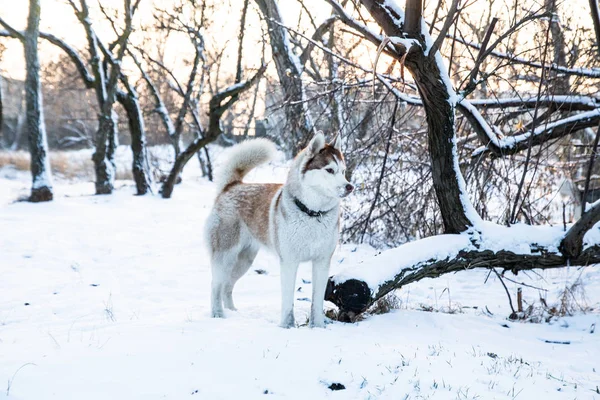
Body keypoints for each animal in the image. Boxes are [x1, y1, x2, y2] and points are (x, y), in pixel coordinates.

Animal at [206, 134, 354, 328]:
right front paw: (287, 326)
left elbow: (317, 302)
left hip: (244, 261)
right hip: (225, 257)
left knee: (227, 287)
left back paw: (233, 312)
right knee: (216, 286)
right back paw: (218, 315)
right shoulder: (289, 262)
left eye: (343, 171)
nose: (350, 186)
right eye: (329, 170)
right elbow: (288, 301)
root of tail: (231, 186)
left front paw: (318, 327)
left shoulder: (322, 262)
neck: (312, 213)